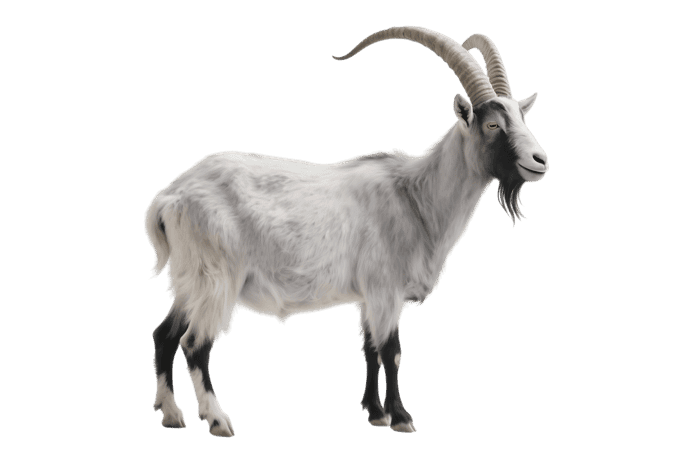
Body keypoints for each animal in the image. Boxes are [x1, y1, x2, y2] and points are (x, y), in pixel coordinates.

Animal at [145, 26, 549, 438]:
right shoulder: (386, 290)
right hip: (217, 279)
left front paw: (375, 413)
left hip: (189, 279)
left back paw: (171, 414)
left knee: (165, 335)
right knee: (195, 343)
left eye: (522, 118)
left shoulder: (367, 295)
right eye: (493, 124)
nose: (540, 161)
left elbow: (369, 347)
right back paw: (217, 419)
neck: (415, 196)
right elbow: (391, 350)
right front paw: (401, 418)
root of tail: (170, 196)